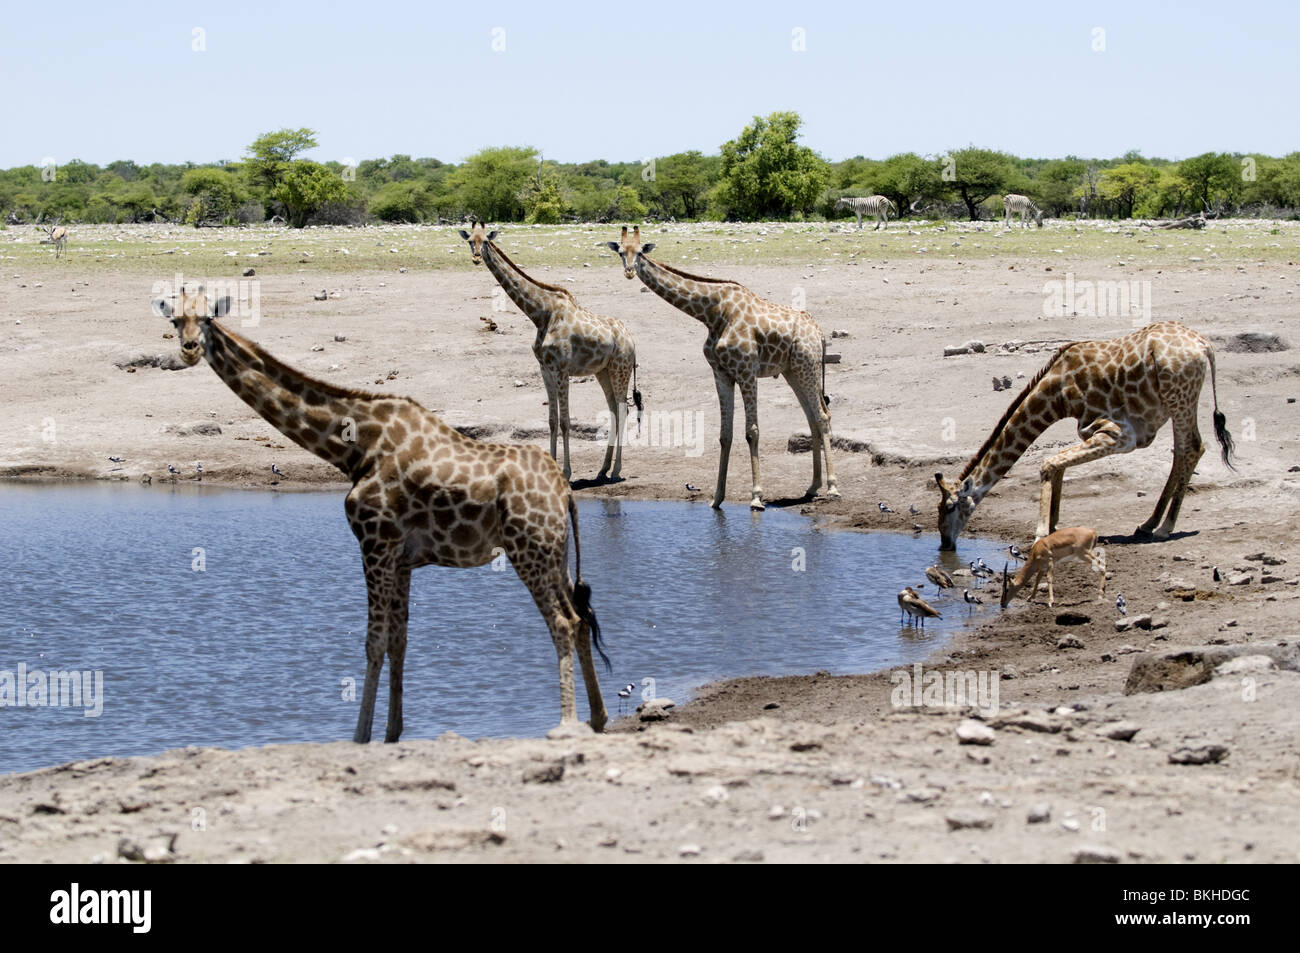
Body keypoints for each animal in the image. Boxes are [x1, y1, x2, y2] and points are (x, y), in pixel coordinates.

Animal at [150, 282, 608, 738]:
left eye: (207, 318)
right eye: (175, 320)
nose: (189, 348)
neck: (352, 447)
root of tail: (564, 491)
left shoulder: (374, 543)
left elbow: (373, 641)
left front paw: (359, 736)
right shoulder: (402, 559)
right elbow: (398, 640)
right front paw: (391, 733)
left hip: (527, 549)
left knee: (563, 622)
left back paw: (566, 724)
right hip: (553, 553)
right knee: (581, 618)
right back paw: (598, 718)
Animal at [457, 223, 639, 483]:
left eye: (486, 240)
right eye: (470, 240)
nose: (476, 257)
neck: (540, 313)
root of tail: (631, 340)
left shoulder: (562, 369)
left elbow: (565, 421)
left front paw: (566, 472)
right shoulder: (545, 369)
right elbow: (552, 421)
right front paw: (551, 467)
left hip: (620, 368)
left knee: (623, 410)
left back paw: (615, 471)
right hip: (602, 371)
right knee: (614, 409)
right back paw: (603, 470)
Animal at [605, 226, 837, 509]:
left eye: (639, 252)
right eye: (620, 252)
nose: (629, 271)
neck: (712, 313)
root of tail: (819, 332)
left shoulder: (747, 370)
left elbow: (752, 431)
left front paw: (756, 496)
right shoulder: (721, 373)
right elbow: (724, 435)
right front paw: (717, 498)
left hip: (808, 366)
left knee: (822, 416)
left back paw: (832, 487)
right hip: (793, 371)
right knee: (813, 417)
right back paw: (813, 487)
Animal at [935, 323, 1227, 551]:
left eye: (948, 507)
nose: (945, 544)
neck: (1059, 393)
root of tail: (1205, 345)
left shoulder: (1117, 435)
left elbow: (1049, 463)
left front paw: (1040, 533)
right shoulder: (1097, 432)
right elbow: (1059, 465)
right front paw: (1053, 525)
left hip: (1180, 398)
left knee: (1192, 447)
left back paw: (1165, 527)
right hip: (1178, 401)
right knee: (1183, 451)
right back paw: (1149, 524)